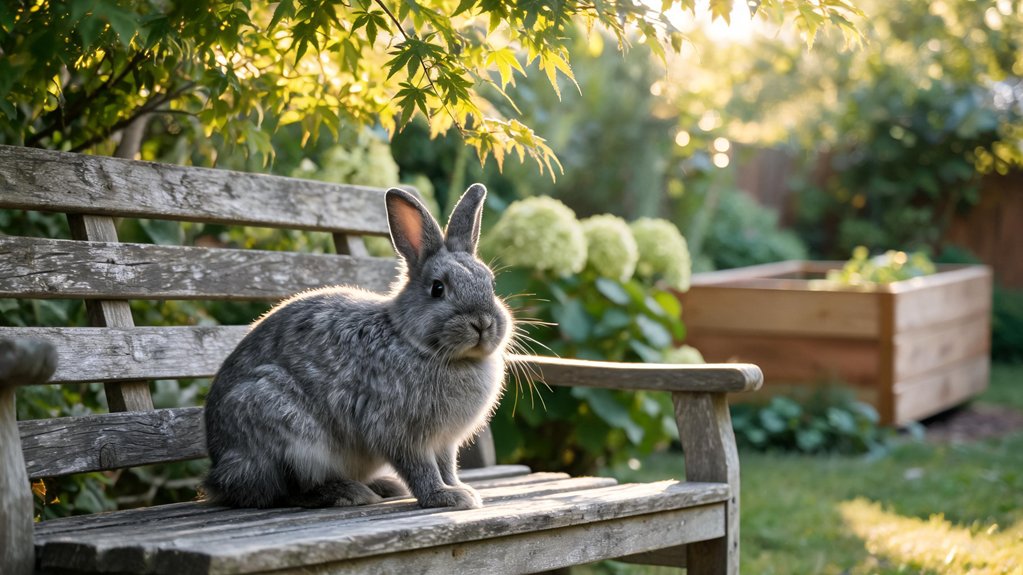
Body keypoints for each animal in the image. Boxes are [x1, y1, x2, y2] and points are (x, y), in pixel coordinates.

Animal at [202, 183, 511, 510]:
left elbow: (447, 467)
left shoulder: (444, 443)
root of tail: (219, 473)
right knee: (285, 490)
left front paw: (461, 489)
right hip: (284, 431)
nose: (482, 323)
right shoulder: (399, 432)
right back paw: (348, 493)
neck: (411, 341)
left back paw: (381, 486)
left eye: (491, 284)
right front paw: (446, 497)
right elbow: (421, 468)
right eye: (437, 288)